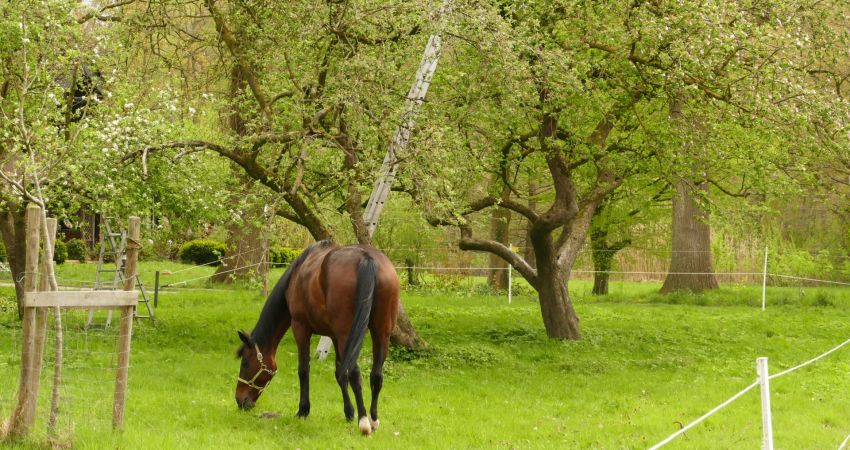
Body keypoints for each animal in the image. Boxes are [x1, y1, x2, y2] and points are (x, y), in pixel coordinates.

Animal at [234, 241, 400, 434]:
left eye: (245, 363)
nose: (240, 400)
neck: (297, 275)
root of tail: (367, 258)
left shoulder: (301, 328)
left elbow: (304, 370)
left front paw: (303, 410)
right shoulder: (334, 336)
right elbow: (339, 372)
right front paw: (349, 412)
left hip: (348, 334)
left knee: (355, 372)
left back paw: (364, 422)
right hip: (381, 332)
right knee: (376, 375)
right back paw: (373, 420)